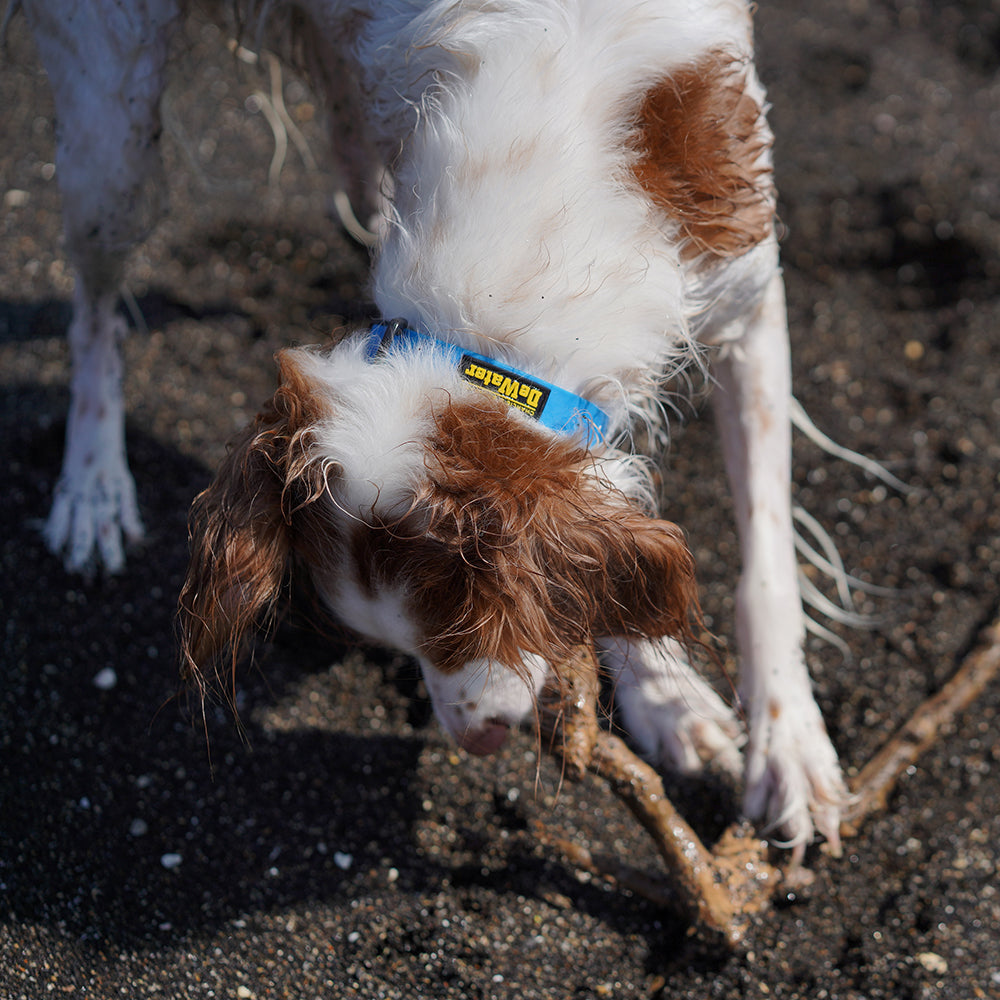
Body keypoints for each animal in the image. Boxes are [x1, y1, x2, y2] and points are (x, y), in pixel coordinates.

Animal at [23, 1, 848, 860]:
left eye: (480, 626)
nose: (475, 740)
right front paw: (666, 690)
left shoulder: (749, 295)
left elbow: (764, 568)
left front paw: (778, 743)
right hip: (110, 144)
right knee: (94, 313)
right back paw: (91, 484)